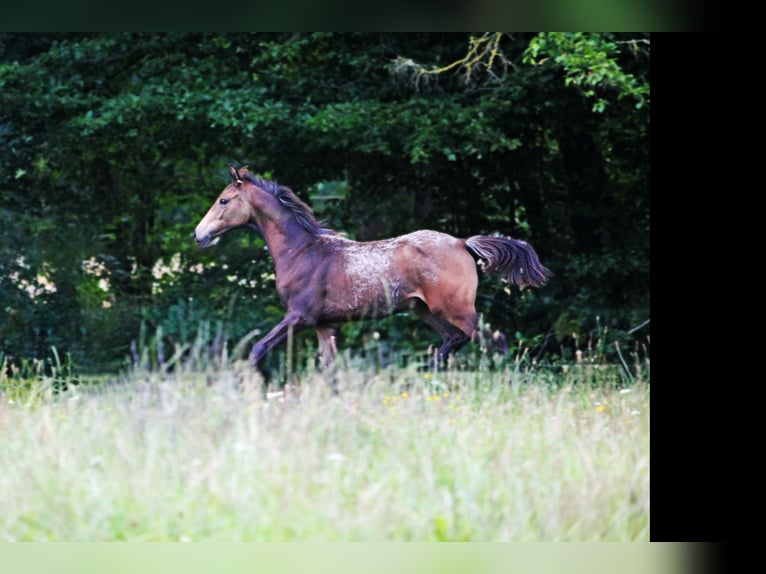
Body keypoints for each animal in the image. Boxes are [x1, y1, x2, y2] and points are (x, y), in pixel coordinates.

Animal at [194, 165, 552, 374]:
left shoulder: (299, 317)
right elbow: (328, 369)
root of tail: (462, 242)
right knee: (455, 340)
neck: (300, 251)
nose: (199, 235)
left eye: (224, 200)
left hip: (455, 308)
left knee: (491, 339)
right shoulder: (325, 326)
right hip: (425, 311)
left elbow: (257, 349)